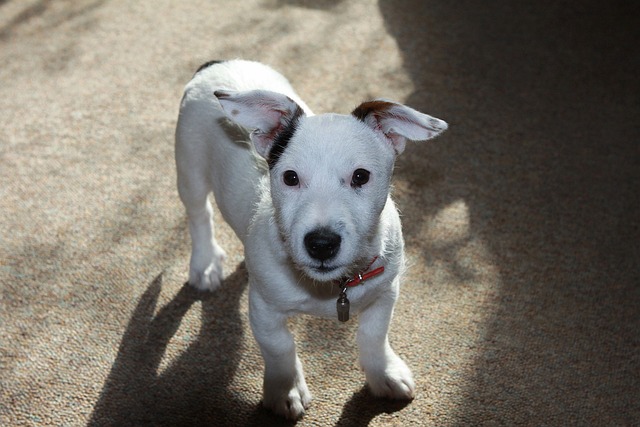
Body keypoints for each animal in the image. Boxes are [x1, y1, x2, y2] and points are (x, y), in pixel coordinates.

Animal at [174, 58, 444, 420]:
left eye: (361, 176)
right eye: (290, 177)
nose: (321, 244)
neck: (331, 289)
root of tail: (219, 63)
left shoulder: (386, 291)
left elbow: (373, 335)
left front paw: (383, 374)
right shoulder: (264, 309)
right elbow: (280, 348)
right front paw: (285, 389)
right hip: (188, 166)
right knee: (199, 214)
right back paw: (204, 264)